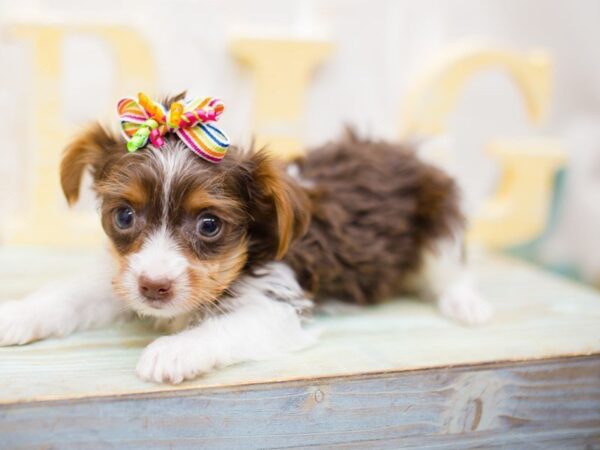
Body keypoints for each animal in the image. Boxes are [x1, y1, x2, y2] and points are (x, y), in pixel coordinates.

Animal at [0, 94, 490, 384]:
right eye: (124, 215)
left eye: (209, 225)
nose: (154, 288)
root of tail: (402, 151)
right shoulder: (124, 276)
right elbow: (70, 295)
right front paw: (16, 315)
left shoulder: (276, 303)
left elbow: (226, 327)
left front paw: (173, 351)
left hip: (439, 215)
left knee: (449, 267)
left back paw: (465, 304)